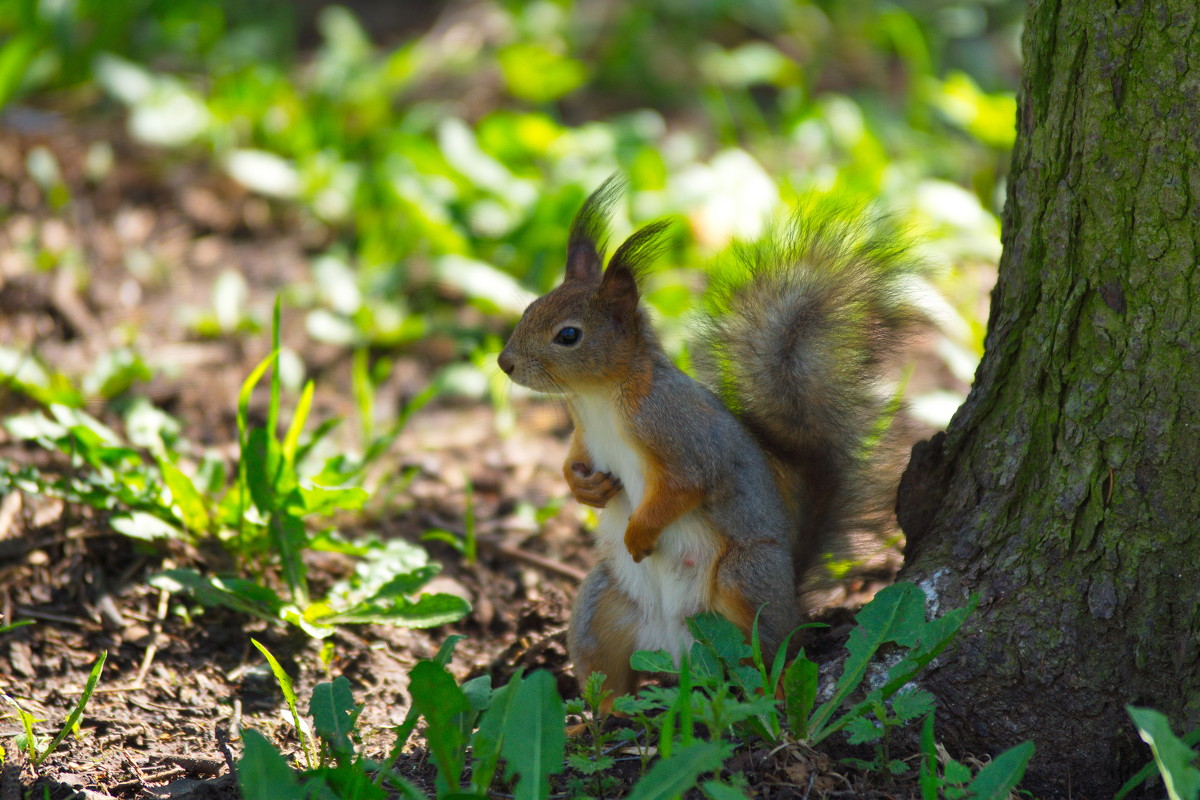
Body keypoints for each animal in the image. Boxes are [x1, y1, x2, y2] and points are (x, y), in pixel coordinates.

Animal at [496, 175, 916, 700]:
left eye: (568, 335)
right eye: (530, 307)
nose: (505, 363)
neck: (598, 400)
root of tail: (676, 650)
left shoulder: (680, 436)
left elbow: (683, 486)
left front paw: (637, 533)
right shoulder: (584, 436)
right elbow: (572, 460)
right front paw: (583, 488)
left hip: (743, 581)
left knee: (772, 649)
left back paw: (777, 688)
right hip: (598, 609)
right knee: (607, 677)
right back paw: (601, 715)